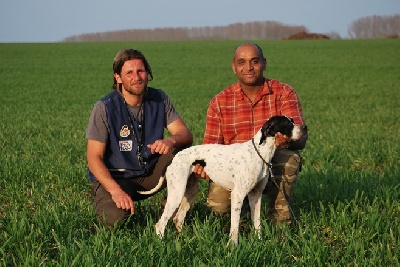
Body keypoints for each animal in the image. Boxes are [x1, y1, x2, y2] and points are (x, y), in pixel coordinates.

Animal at [139, 116, 304, 246]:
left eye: (292, 120)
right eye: (286, 123)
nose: (305, 127)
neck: (260, 153)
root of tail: (174, 157)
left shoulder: (255, 195)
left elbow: (257, 222)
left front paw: (259, 241)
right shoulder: (238, 195)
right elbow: (235, 225)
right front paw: (233, 245)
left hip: (189, 193)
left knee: (178, 219)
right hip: (176, 194)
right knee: (161, 223)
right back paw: (161, 243)